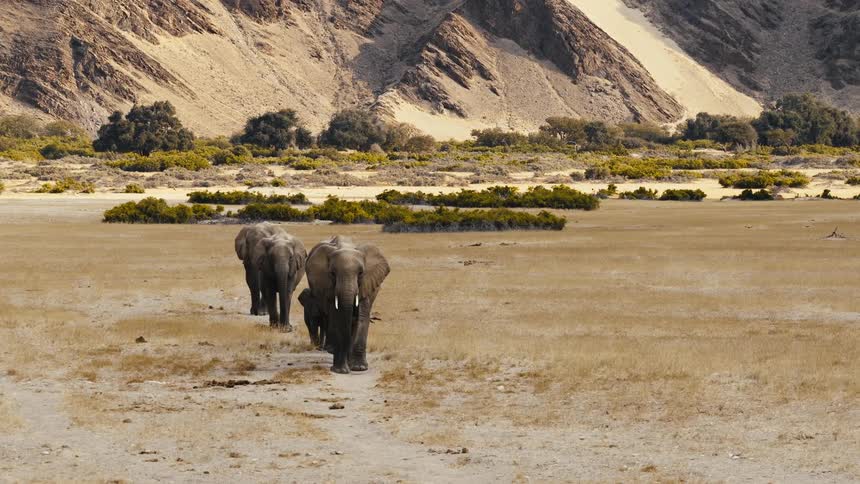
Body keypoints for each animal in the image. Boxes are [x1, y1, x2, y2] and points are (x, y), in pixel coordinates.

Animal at [306, 236, 390, 374]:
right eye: (332, 273)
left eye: (361, 273)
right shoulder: (328, 287)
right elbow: (338, 318)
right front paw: (340, 370)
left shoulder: (366, 284)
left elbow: (362, 317)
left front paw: (359, 368)